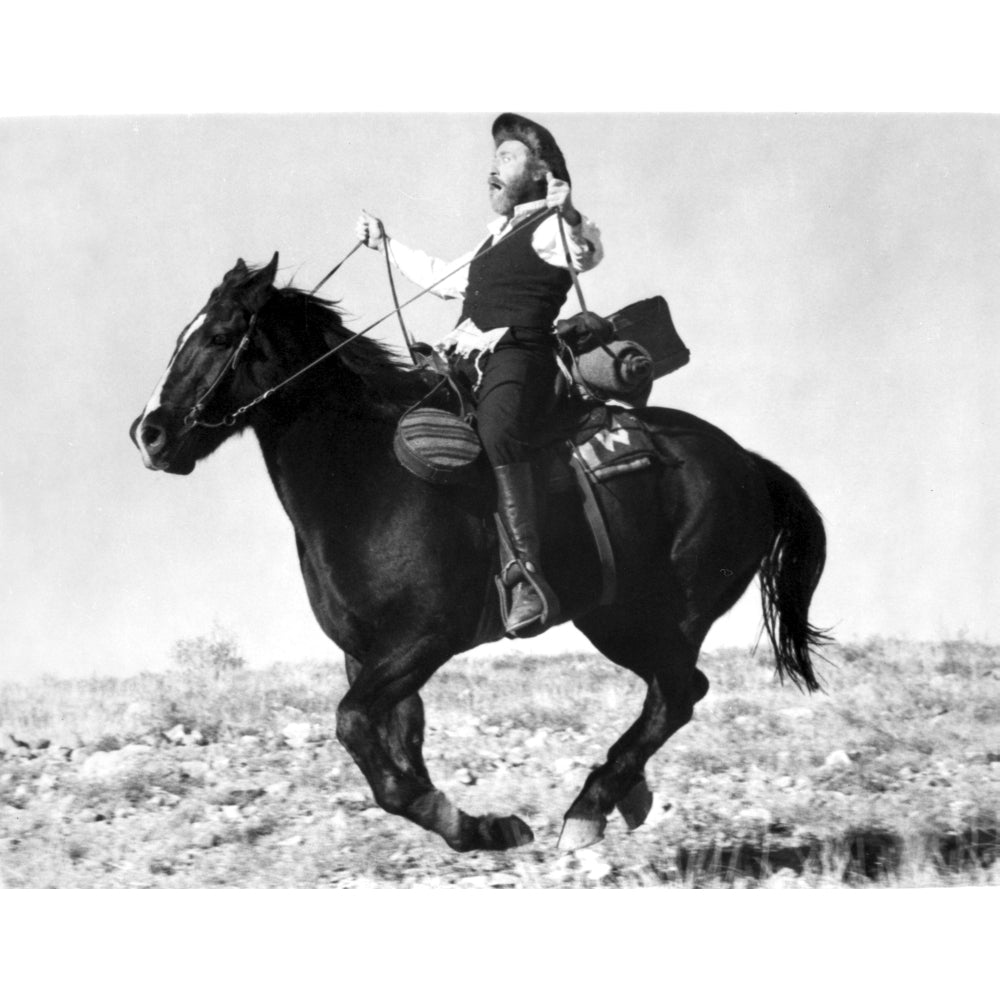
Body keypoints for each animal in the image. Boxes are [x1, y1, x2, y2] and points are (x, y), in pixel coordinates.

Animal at [131, 256, 828, 852]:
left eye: (220, 336)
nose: (151, 434)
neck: (370, 475)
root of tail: (748, 465)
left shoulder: (424, 639)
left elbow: (355, 728)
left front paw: (486, 826)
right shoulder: (369, 654)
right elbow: (397, 751)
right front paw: (478, 826)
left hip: (667, 611)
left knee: (676, 692)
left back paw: (588, 808)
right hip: (615, 620)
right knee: (674, 689)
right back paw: (624, 796)